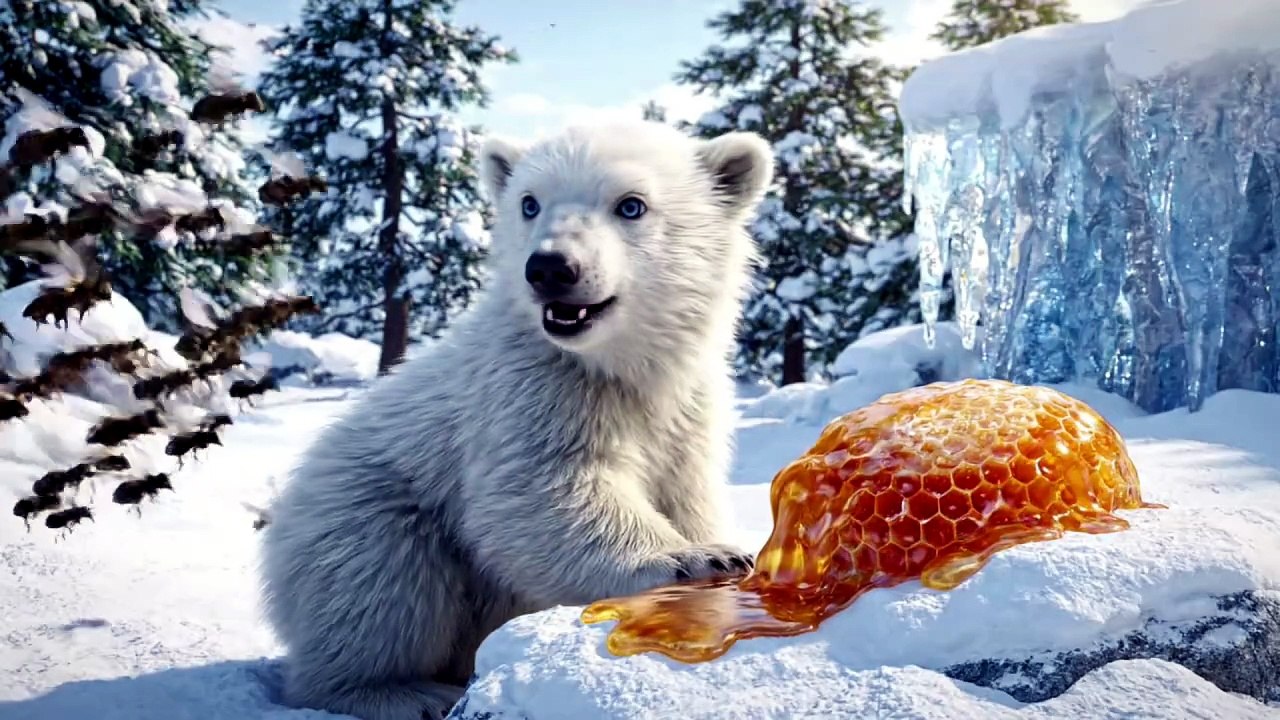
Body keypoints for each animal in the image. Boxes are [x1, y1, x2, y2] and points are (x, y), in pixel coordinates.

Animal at [258, 120, 776, 720]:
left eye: (631, 204)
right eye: (530, 202)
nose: (551, 267)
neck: (620, 369)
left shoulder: (690, 410)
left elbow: (687, 493)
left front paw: (719, 549)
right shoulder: (531, 390)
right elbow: (540, 492)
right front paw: (701, 557)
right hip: (364, 507)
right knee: (381, 585)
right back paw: (403, 692)